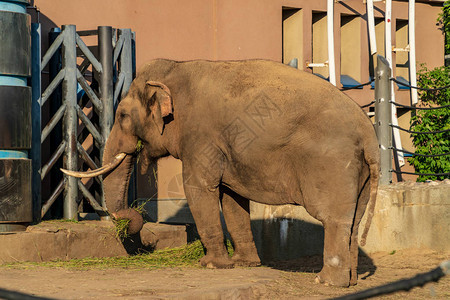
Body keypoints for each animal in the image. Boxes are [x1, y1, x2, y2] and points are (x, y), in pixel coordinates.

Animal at [62, 59, 380, 288]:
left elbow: (199, 188)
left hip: (331, 163)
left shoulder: (200, 137)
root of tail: (369, 134)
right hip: (359, 172)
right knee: (354, 220)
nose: (140, 237)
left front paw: (211, 264)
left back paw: (326, 282)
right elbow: (231, 197)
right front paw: (244, 263)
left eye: (123, 116)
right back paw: (350, 281)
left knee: (333, 218)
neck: (177, 69)